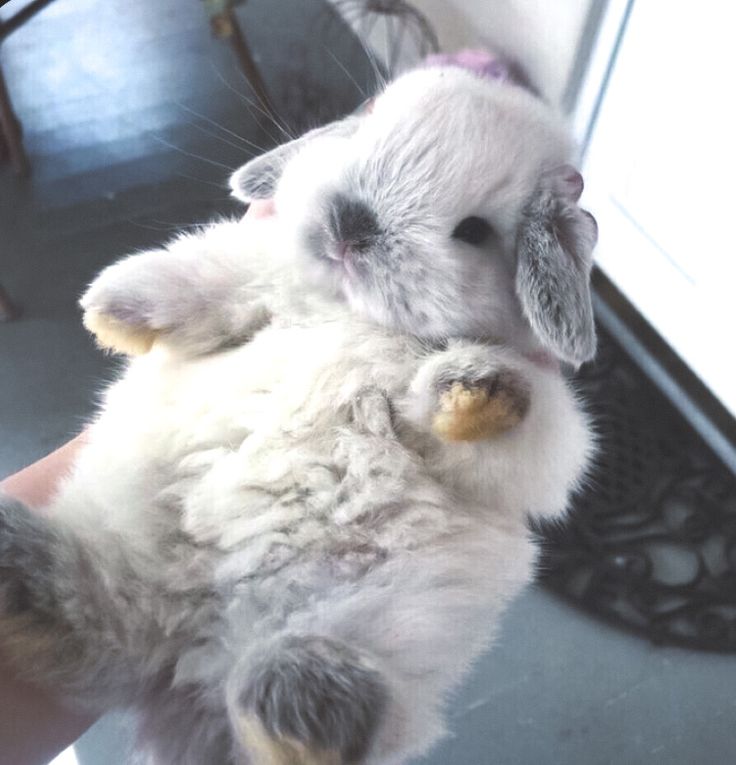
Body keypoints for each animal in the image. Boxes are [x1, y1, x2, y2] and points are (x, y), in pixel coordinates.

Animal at [0, 62, 600, 760]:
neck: (350, 311)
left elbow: (517, 427)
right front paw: (110, 308)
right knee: (89, 611)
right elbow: (202, 275)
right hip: (119, 546)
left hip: (375, 620)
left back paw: (301, 708)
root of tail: (177, 650)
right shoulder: (252, 272)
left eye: (475, 231)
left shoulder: (534, 440)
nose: (351, 222)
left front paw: (477, 390)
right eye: (363, 129)